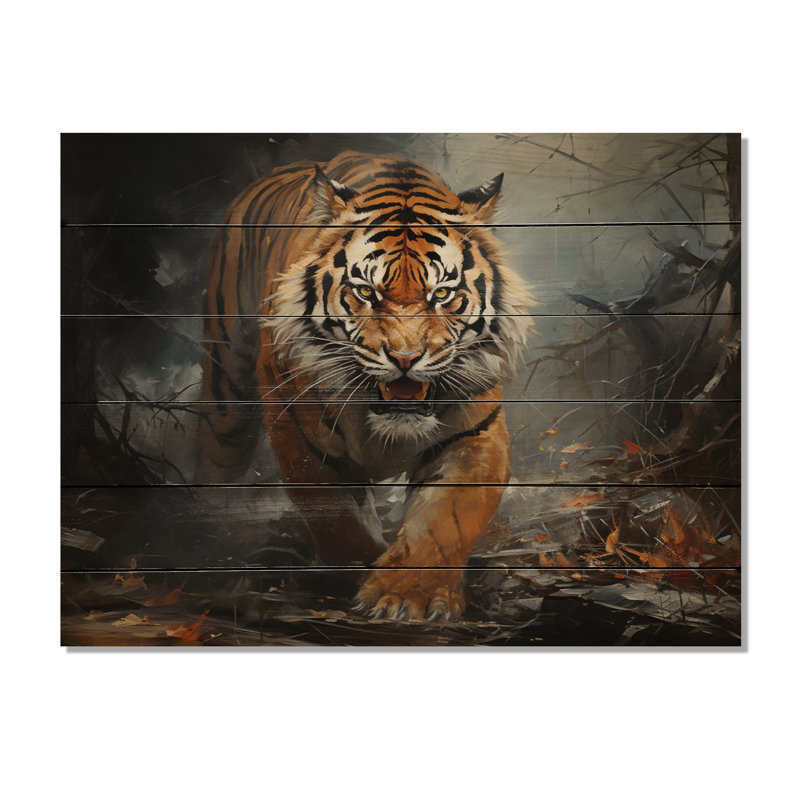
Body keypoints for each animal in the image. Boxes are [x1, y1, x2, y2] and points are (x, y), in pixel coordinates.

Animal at [198, 150, 531, 621]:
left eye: (442, 295)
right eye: (366, 292)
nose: (406, 357)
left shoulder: (475, 437)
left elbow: (444, 521)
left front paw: (405, 595)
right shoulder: (300, 438)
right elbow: (338, 521)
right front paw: (364, 572)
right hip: (226, 383)